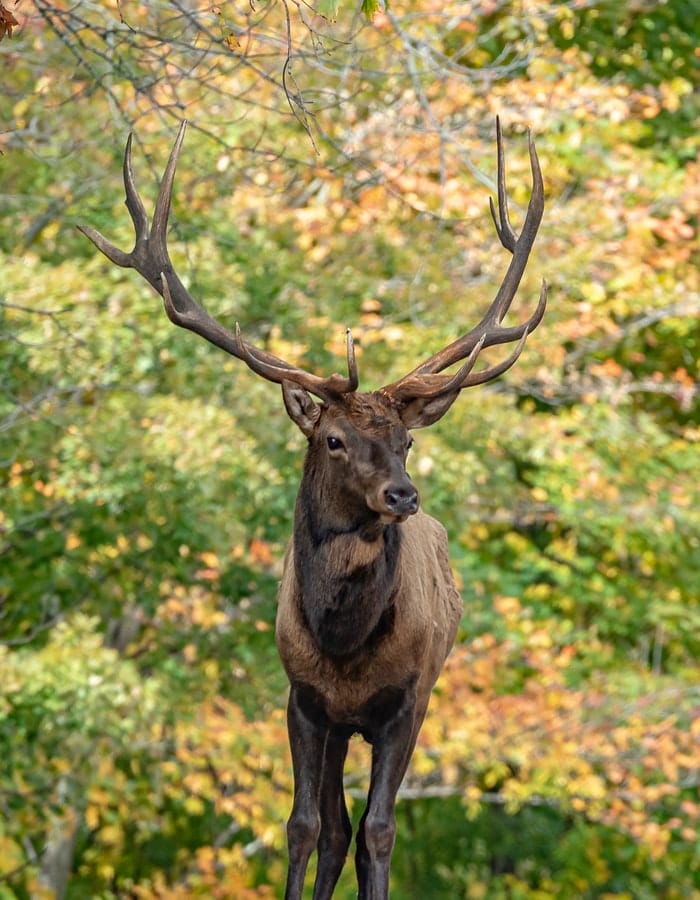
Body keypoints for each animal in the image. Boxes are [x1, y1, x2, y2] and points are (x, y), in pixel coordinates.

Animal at [79, 119, 544, 900]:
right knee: (331, 830)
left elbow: (380, 831)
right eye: (333, 438)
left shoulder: (407, 702)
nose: (402, 495)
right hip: (332, 727)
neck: (344, 644)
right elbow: (301, 827)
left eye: (406, 439)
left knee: (357, 830)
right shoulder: (302, 700)